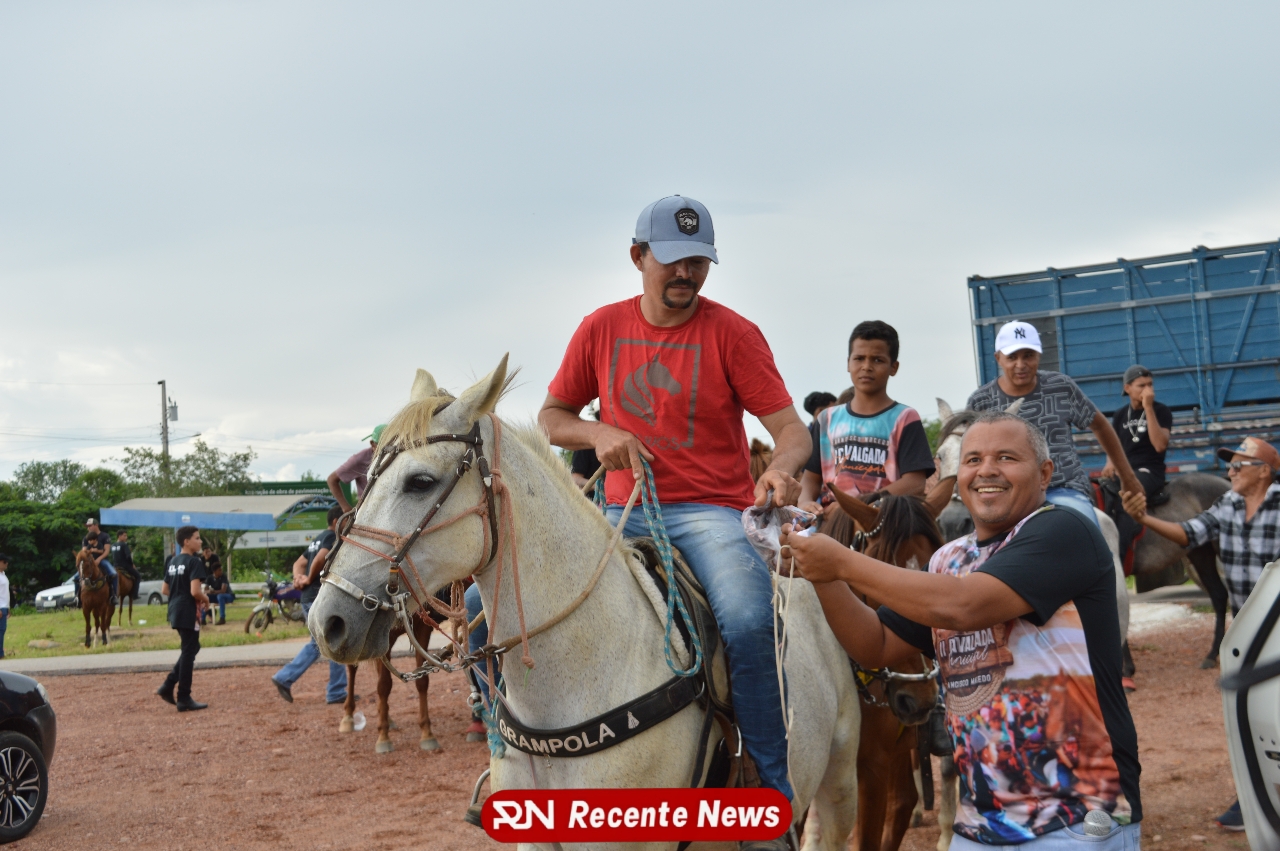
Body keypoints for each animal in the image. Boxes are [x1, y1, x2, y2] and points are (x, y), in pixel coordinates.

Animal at [340, 613, 440, 754]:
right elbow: (384, 685)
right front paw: (383, 737)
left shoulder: (423, 627)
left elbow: (422, 680)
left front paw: (427, 734)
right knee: (352, 667)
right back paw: (348, 716)